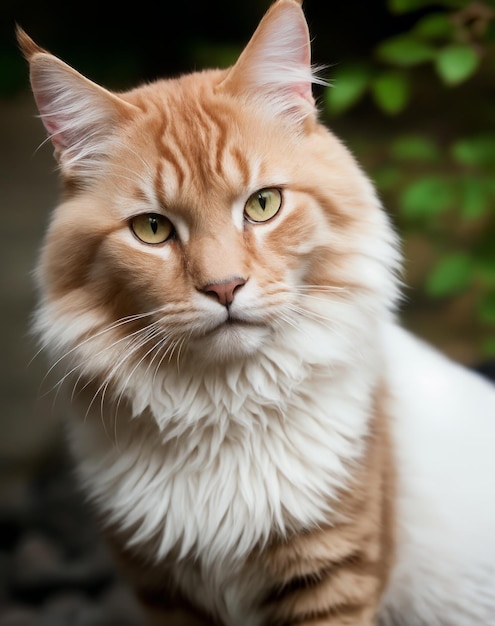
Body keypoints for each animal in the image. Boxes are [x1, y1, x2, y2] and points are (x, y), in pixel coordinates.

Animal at [15, 0, 495, 620]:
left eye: (263, 205)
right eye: (153, 229)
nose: (224, 288)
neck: (223, 409)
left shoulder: (333, 573)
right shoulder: (163, 588)